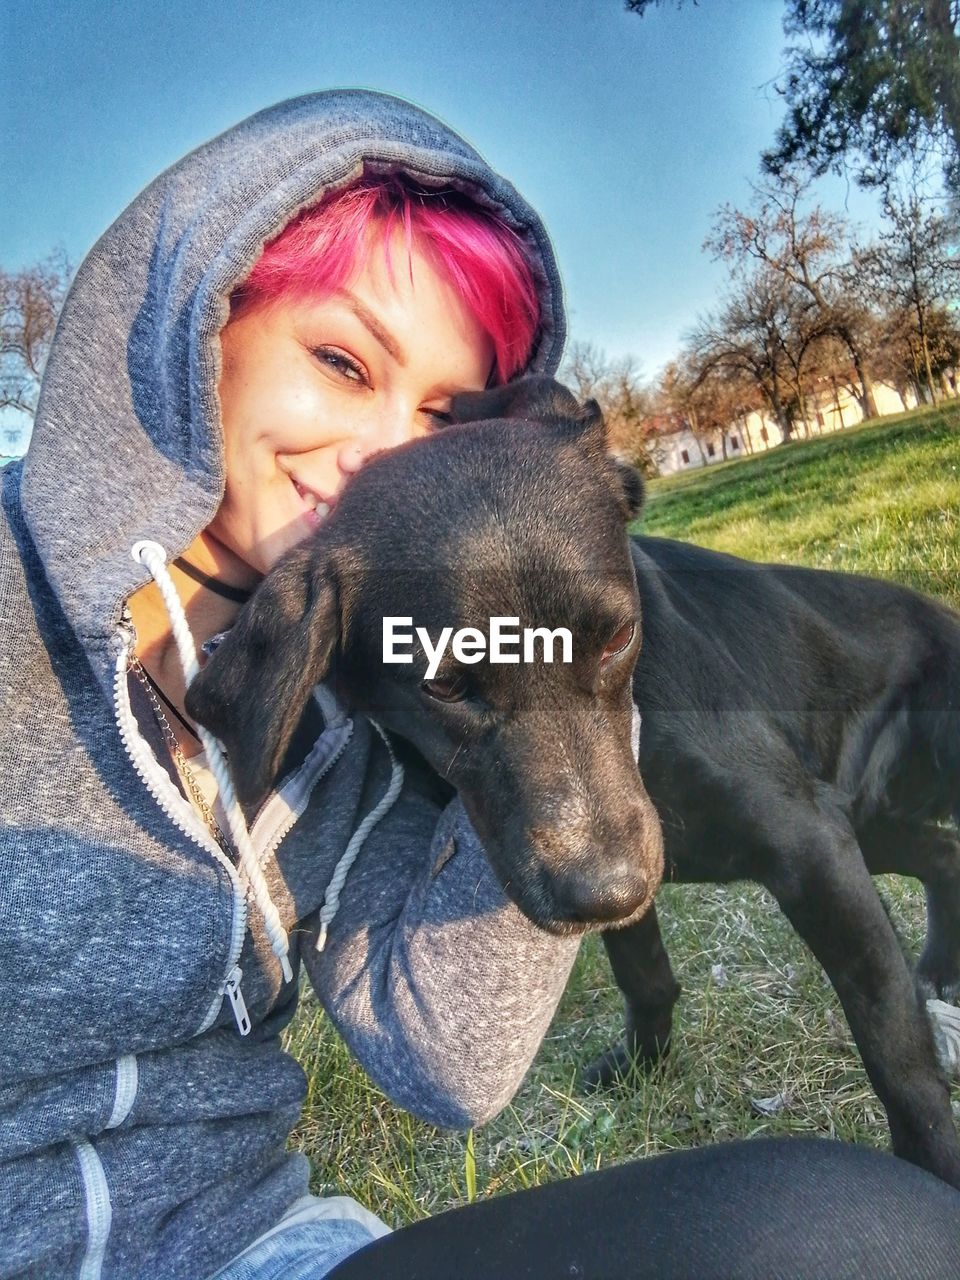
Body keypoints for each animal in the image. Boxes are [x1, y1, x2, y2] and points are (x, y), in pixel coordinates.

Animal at [189, 376, 960, 1187]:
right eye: (444, 686)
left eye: (619, 637)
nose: (609, 891)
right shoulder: (655, 862)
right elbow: (643, 972)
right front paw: (645, 1066)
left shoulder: (808, 842)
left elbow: (892, 1034)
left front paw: (933, 1166)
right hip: (864, 819)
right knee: (943, 851)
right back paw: (941, 965)